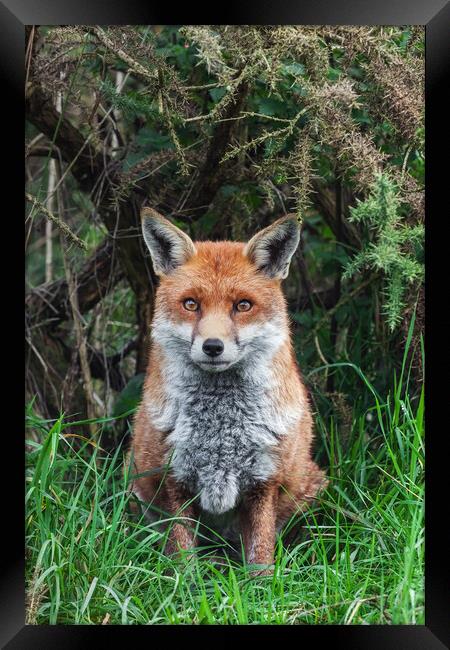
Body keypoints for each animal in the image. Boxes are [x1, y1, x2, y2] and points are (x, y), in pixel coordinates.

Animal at [128, 209, 326, 568]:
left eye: (243, 305)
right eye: (191, 304)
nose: (212, 346)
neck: (221, 431)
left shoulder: (264, 482)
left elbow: (260, 557)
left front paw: (262, 584)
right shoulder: (174, 480)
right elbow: (184, 559)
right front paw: (184, 581)